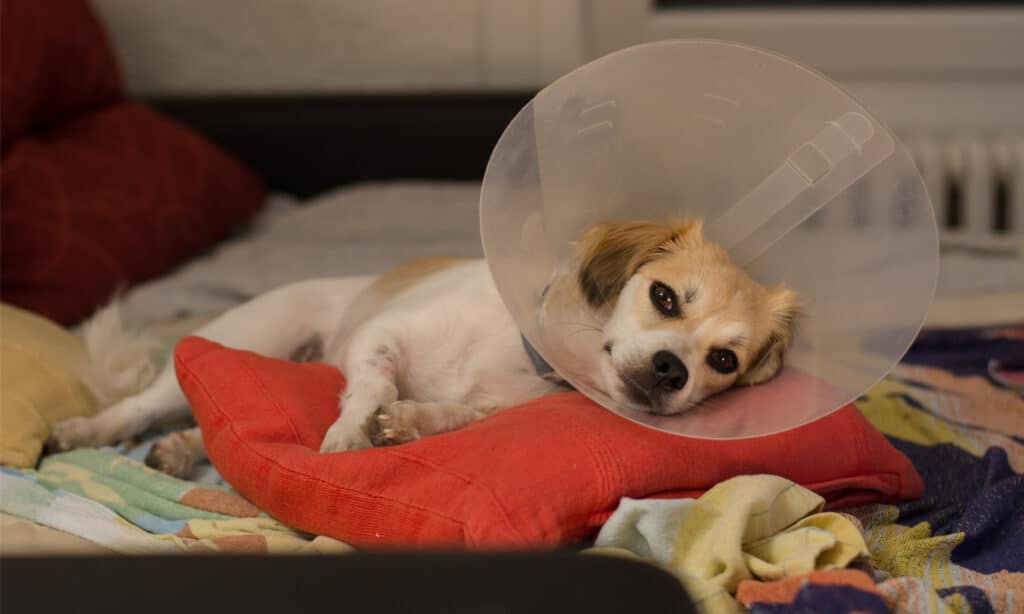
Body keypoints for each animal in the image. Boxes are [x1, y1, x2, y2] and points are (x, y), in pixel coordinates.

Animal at [48, 217, 798, 476]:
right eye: (665, 297)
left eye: (724, 361)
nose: (672, 370)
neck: (519, 353)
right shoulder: (383, 338)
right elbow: (375, 380)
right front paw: (352, 432)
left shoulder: (492, 407)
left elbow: (449, 416)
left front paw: (406, 423)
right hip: (244, 338)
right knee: (138, 408)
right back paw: (84, 430)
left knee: (211, 425)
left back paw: (180, 450)